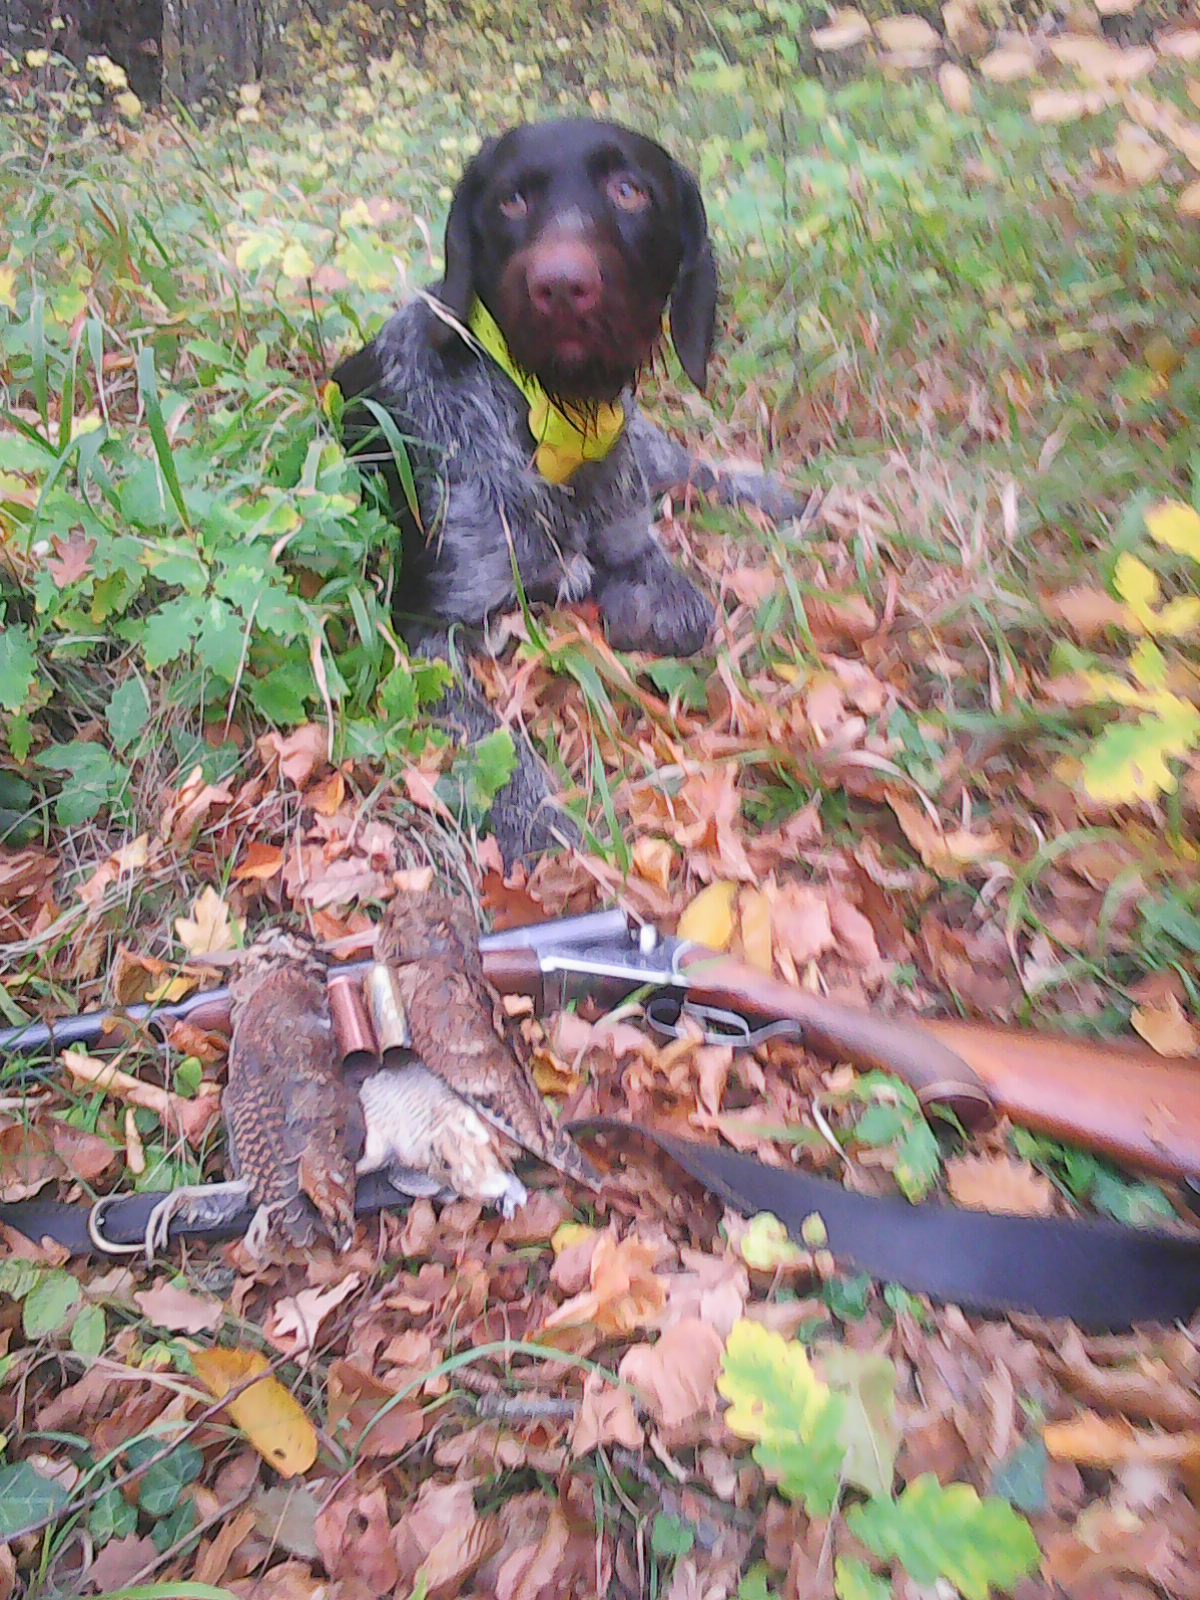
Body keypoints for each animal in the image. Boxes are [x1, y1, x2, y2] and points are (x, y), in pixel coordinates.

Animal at [332, 117, 806, 864]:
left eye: (630, 190)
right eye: (510, 200)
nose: (560, 285)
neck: (552, 419)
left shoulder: (632, 539)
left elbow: (685, 611)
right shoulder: (426, 629)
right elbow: (486, 736)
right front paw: (538, 817)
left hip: (651, 448)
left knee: (693, 468)